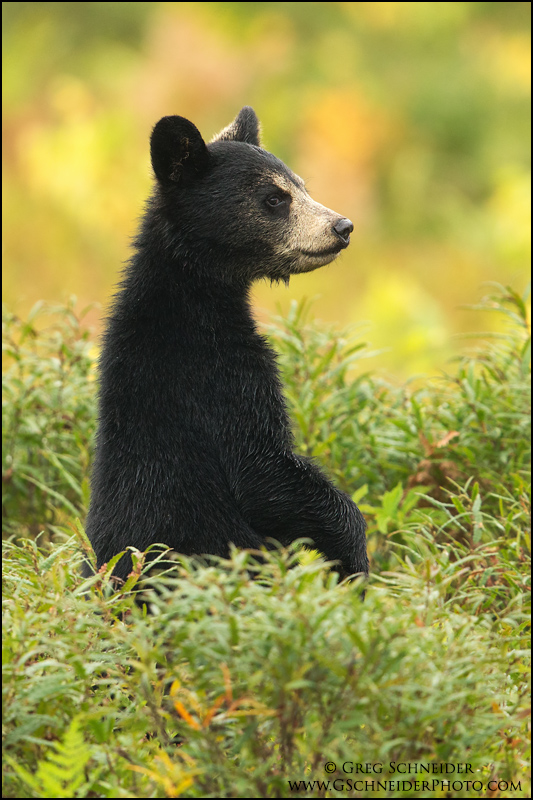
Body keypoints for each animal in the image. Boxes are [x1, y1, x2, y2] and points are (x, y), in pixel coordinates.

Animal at [85, 106, 368, 580]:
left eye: (303, 185)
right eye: (274, 198)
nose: (343, 226)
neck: (191, 302)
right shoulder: (216, 375)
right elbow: (261, 471)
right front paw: (354, 562)